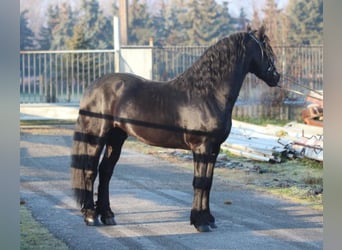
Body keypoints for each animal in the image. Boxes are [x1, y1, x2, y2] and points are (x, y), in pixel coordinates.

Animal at [71, 25, 280, 232]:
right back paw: (90, 216)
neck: (207, 95)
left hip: (116, 137)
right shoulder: (202, 147)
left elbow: (208, 182)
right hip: (97, 136)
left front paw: (208, 219)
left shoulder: (214, 148)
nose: (276, 77)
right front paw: (200, 222)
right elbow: (199, 182)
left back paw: (107, 215)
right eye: (266, 50)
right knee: (90, 170)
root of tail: (92, 87)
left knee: (106, 172)